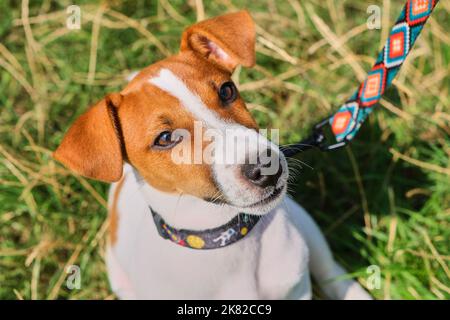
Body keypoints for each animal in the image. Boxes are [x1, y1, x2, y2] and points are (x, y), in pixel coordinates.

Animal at [52, 10, 370, 300]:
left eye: (227, 91)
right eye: (165, 138)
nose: (266, 168)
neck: (223, 238)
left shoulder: (297, 291)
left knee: (328, 268)